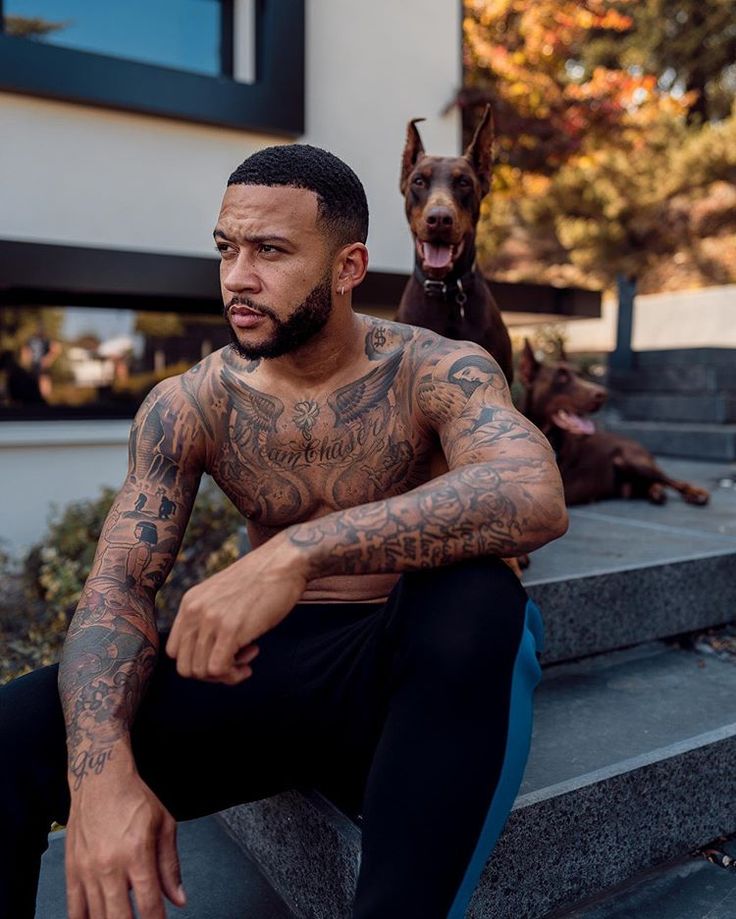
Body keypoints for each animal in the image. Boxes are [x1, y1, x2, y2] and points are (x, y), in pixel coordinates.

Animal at [516, 340, 708, 510]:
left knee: (673, 480)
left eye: (581, 375)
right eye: (561, 377)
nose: (602, 394)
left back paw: (696, 493)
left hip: (631, 459)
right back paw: (656, 493)